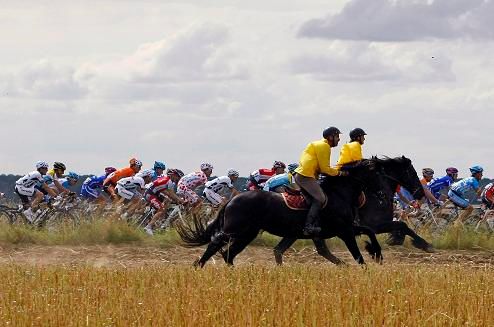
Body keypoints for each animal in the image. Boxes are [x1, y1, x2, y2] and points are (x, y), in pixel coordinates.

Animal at [178, 163, 386, 268]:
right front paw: (371, 260)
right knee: (216, 244)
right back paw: (198, 266)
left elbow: (369, 231)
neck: (339, 193)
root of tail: (231, 200)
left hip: (248, 233)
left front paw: (376, 253)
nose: (384, 194)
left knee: (228, 253)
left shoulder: (345, 228)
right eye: (376, 175)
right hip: (235, 229)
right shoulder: (344, 230)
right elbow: (357, 255)